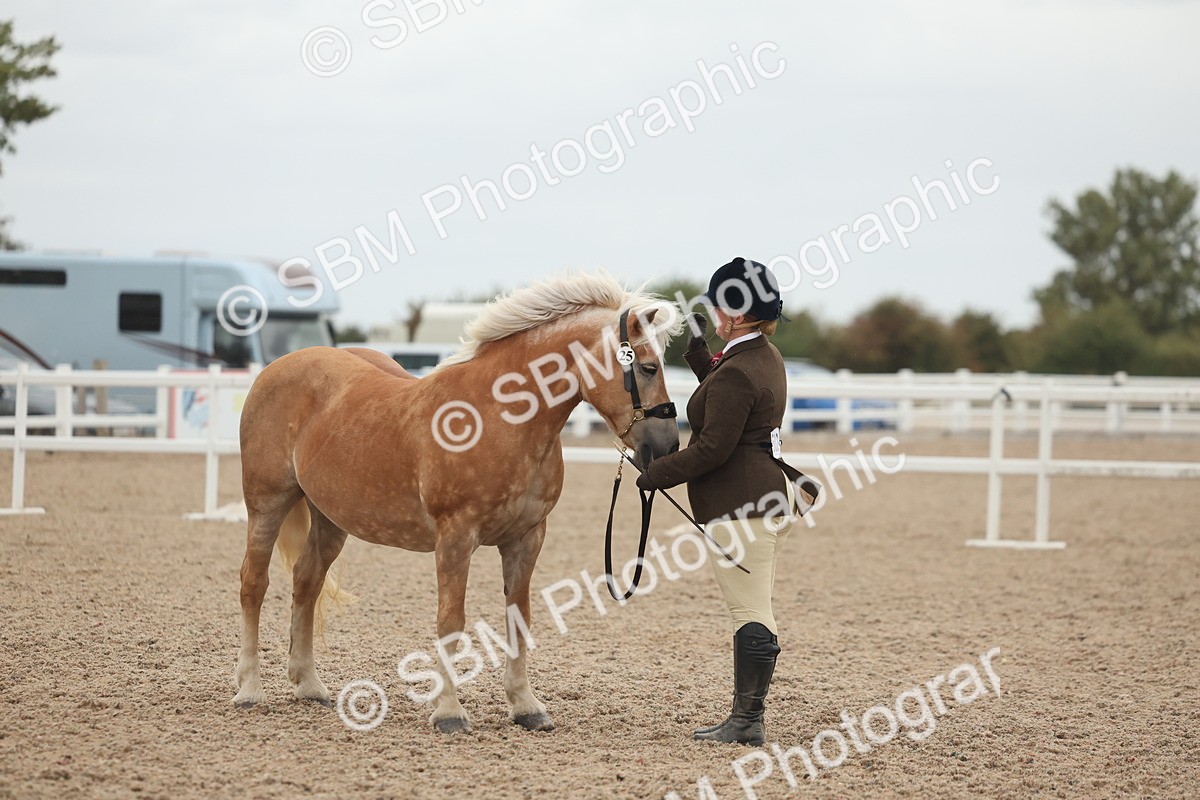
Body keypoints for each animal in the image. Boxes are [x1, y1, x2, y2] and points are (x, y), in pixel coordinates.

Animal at [233, 270, 684, 734]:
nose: (666, 447)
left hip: (329, 518)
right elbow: (451, 620)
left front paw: (526, 706)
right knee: (254, 583)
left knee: (307, 581)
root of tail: (277, 368)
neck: (498, 416)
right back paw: (249, 690)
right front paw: (449, 712)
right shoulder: (455, 537)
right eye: (648, 367)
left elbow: (519, 616)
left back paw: (309, 685)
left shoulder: (527, 538)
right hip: (267, 503)